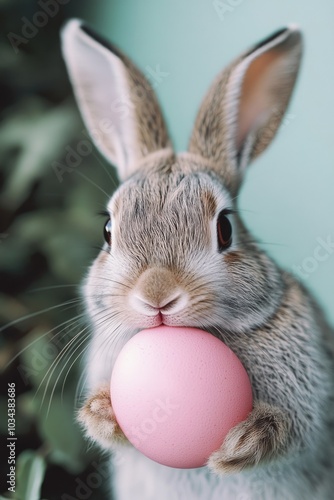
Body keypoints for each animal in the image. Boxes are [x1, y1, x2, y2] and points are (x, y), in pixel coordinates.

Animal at [60, 19, 334, 500]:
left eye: (225, 228)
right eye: (108, 230)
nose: (157, 296)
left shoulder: (311, 404)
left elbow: (293, 431)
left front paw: (244, 441)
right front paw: (103, 411)